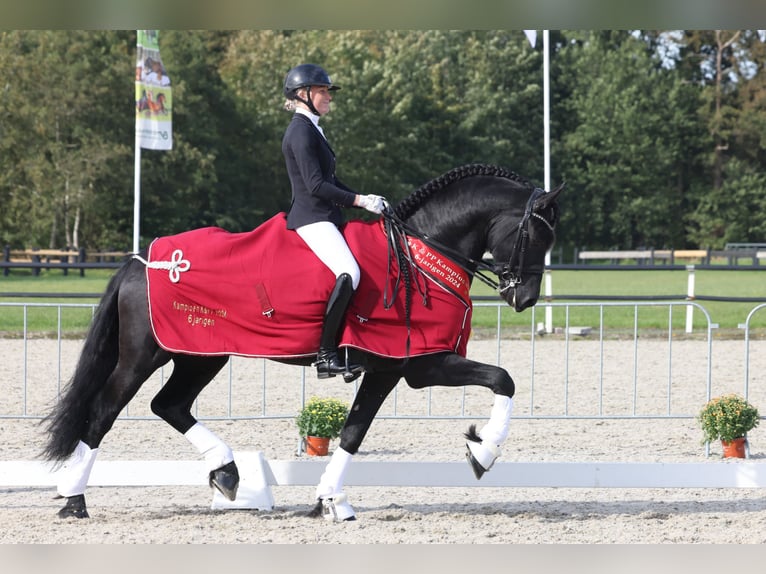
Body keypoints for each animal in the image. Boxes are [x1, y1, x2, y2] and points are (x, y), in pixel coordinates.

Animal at [40, 163, 564, 520]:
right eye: (537, 237)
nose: (525, 299)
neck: (421, 251)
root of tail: (141, 260)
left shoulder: (387, 369)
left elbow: (353, 433)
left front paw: (331, 502)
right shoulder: (423, 363)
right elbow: (504, 379)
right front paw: (483, 452)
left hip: (201, 355)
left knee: (169, 404)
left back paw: (227, 473)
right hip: (146, 355)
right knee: (104, 411)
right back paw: (74, 500)